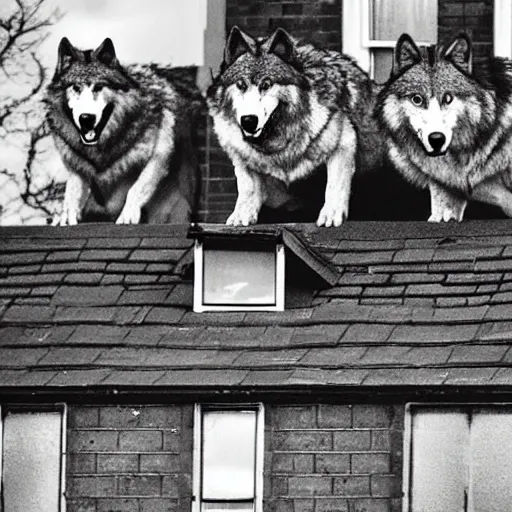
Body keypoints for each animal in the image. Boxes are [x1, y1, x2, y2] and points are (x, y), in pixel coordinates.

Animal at [45, 37, 202, 225]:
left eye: (99, 87)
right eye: (76, 87)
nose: (86, 118)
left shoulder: (159, 154)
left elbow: (136, 188)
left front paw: (128, 215)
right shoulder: (77, 166)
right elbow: (72, 194)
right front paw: (67, 217)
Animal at [206, 26, 374, 226]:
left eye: (267, 84)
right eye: (241, 85)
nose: (249, 120)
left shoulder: (343, 142)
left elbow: (334, 184)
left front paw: (331, 214)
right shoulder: (241, 155)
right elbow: (248, 187)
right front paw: (241, 215)